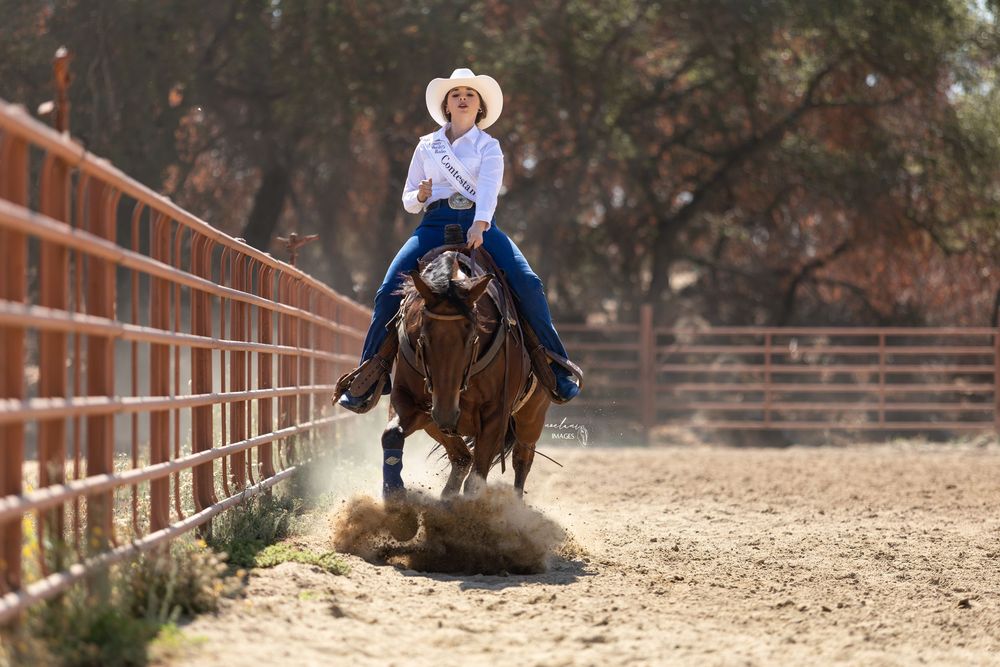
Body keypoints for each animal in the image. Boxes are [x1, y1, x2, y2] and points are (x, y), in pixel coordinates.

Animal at [380, 242, 551, 499]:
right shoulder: (408, 397)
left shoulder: (496, 414)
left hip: (531, 417)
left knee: (522, 459)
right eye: (423, 337)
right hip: (434, 420)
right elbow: (392, 433)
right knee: (462, 457)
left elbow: (476, 480)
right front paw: (394, 494)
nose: (447, 414)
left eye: (472, 338)